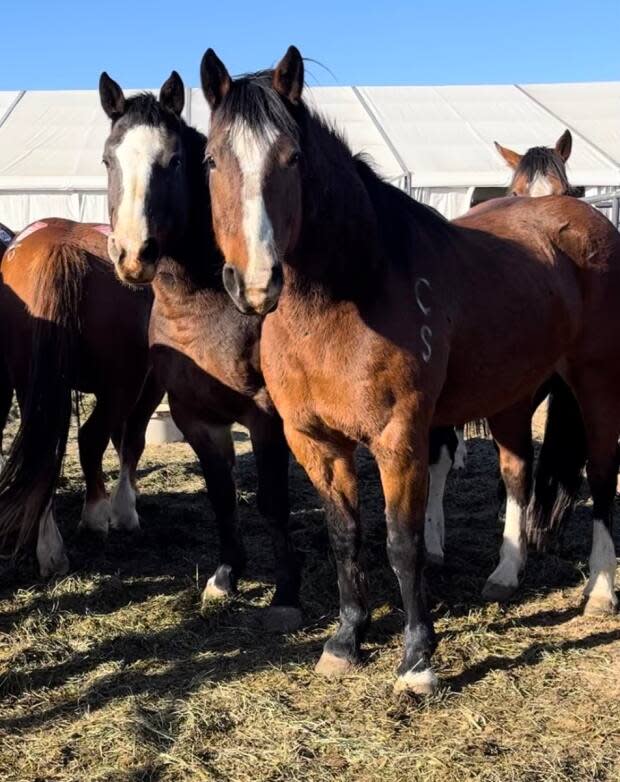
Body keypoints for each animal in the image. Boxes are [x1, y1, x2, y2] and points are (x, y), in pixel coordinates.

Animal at [0, 217, 157, 580]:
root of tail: (60, 249)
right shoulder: (150, 386)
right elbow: (131, 441)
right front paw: (125, 510)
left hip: (32, 383)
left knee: (44, 452)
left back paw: (48, 547)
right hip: (123, 384)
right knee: (89, 438)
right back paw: (95, 516)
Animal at [98, 70, 302, 628]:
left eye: (173, 161)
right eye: (108, 159)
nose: (133, 255)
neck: (205, 306)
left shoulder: (265, 416)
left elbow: (272, 502)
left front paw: (286, 595)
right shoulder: (195, 416)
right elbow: (221, 496)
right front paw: (226, 576)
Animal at [201, 47, 616, 700]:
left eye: (292, 158)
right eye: (212, 159)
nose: (257, 283)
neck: (347, 296)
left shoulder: (400, 439)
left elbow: (403, 541)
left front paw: (418, 660)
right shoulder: (315, 442)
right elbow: (345, 537)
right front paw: (345, 640)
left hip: (597, 382)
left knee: (602, 476)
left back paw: (600, 589)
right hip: (512, 395)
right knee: (518, 473)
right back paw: (505, 573)